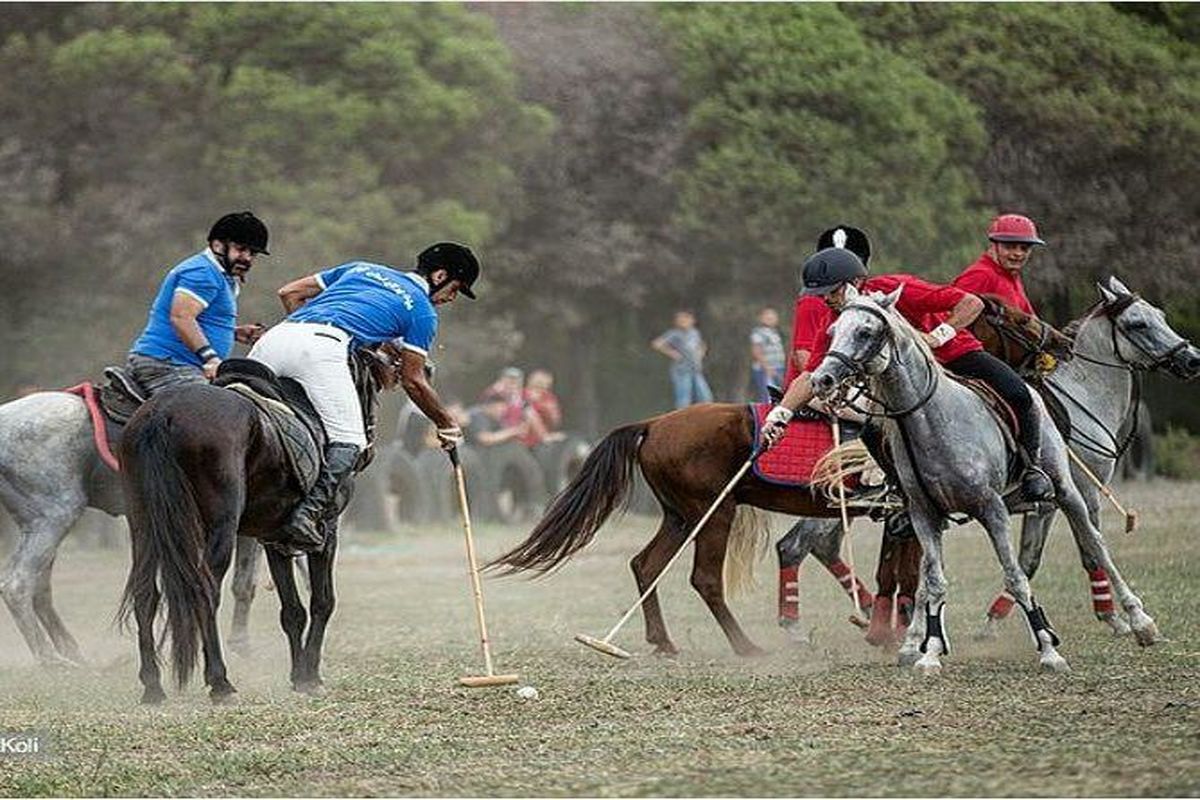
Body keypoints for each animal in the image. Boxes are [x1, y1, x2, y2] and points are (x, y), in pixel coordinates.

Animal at [0, 383, 270, 666]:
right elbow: (248, 582)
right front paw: (241, 646)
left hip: (38, 523)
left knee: (40, 587)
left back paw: (72, 653)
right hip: (55, 516)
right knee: (17, 583)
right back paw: (50, 658)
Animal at [117, 347, 391, 705]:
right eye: (372, 386)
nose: (368, 450)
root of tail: (162, 413)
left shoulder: (274, 539)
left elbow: (292, 610)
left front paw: (299, 676)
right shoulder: (326, 532)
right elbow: (322, 602)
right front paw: (312, 676)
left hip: (144, 526)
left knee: (145, 593)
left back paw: (152, 686)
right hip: (220, 526)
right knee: (205, 590)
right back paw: (220, 682)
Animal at [811, 287, 1156, 676]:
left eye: (866, 331)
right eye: (834, 330)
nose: (822, 380)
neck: (930, 422)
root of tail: (1034, 389)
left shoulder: (993, 509)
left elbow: (1017, 576)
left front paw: (1049, 650)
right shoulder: (924, 515)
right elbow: (934, 582)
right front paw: (929, 652)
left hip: (1066, 490)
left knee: (1095, 545)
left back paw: (1140, 621)